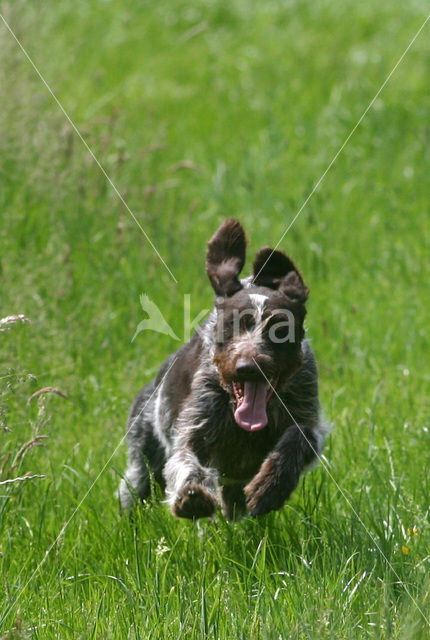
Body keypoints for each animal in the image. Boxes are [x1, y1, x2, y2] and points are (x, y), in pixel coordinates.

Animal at [119, 220, 328, 520]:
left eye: (280, 328)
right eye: (230, 324)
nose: (249, 367)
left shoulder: (308, 417)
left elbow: (299, 436)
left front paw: (271, 487)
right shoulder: (194, 429)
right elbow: (186, 459)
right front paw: (192, 496)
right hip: (142, 459)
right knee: (136, 487)